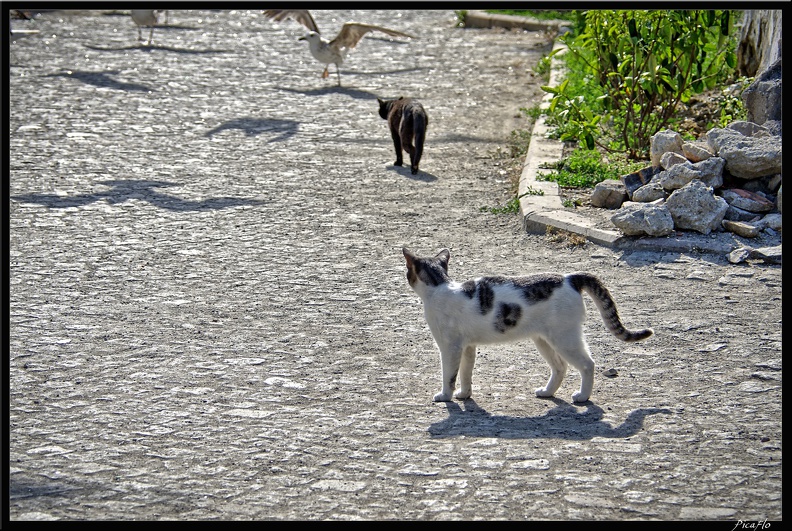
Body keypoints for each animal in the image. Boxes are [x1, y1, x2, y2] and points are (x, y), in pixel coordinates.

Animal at [406, 248, 652, 404]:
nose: (404, 274)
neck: (439, 287)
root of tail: (570, 277)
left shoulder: (451, 347)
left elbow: (449, 375)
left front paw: (445, 396)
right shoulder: (468, 347)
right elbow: (466, 373)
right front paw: (465, 394)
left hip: (565, 339)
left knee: (587, 364)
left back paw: (583, 397)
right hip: (543, 340)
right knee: (560, 367)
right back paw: (547, 392)